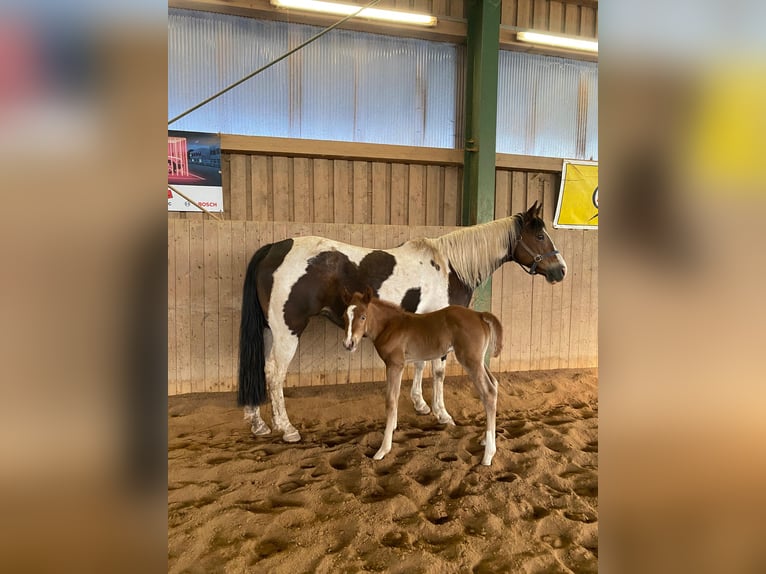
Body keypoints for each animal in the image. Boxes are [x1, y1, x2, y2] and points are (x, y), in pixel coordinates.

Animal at [239, 201, 566, 443]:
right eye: (540, 236)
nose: (560, 270)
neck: (449, 266)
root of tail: (273, 248)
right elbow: (438, 371)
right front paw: (442, 414)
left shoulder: (426, 323)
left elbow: (420, 364)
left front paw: (421, 405)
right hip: (288, 331)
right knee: (274, 373)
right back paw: (287, 429)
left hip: (270, 331)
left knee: (260, 368)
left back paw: (257, 423)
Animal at [342, 288, 503, 466]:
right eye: (344, 317)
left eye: (363, 316)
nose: (349, 344)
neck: (389, 326)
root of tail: (480, 314)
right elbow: (395, 397)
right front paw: (393, 428)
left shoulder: (395, 365)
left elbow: (390, 400)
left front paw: (383, 449)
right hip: (479, 360)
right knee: (494, 384)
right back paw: (485, 440)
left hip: (470, 361)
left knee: (488, 393)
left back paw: (488, 456)